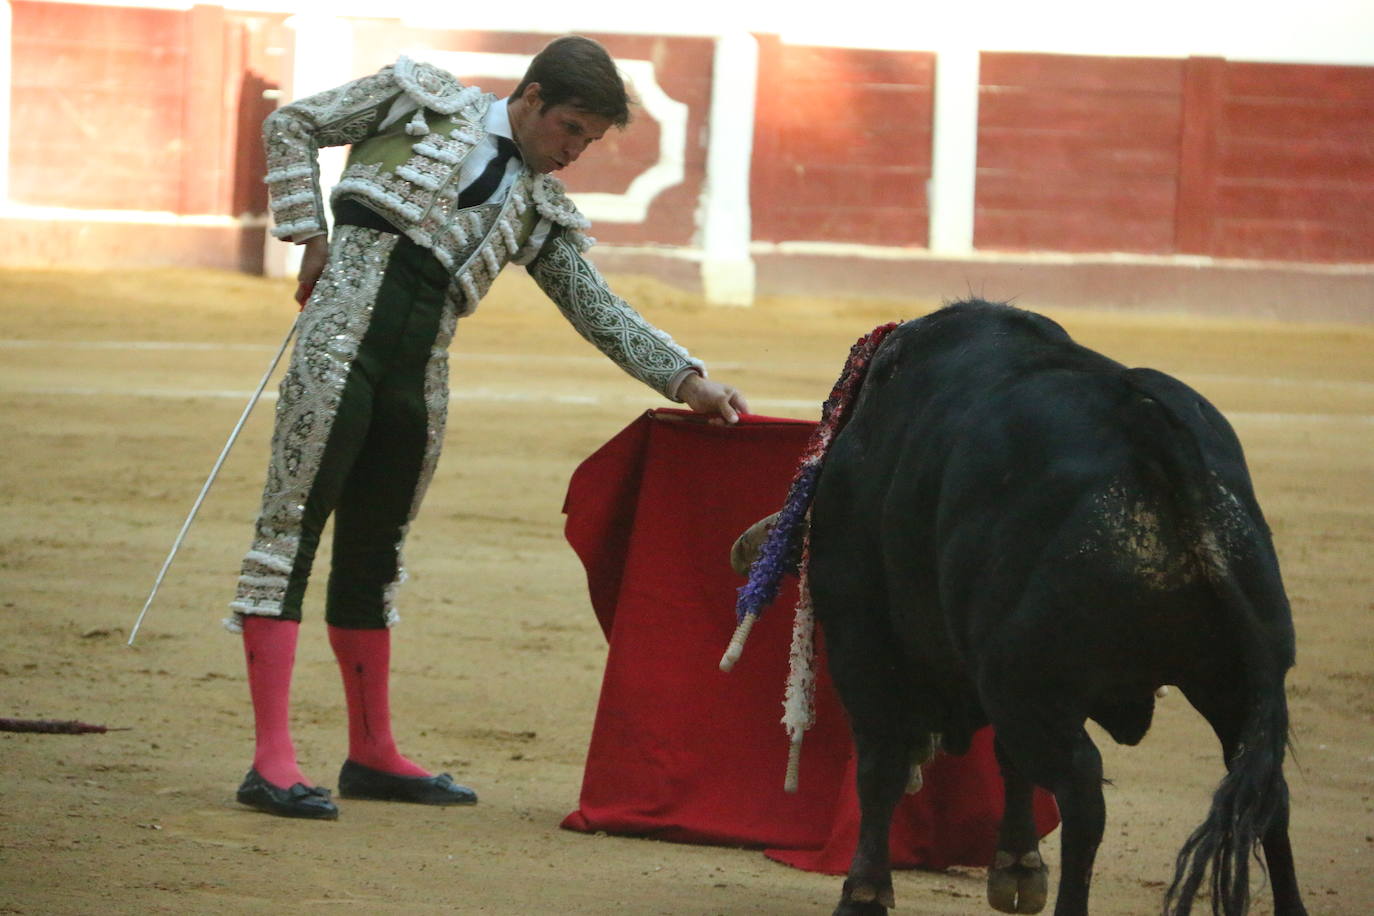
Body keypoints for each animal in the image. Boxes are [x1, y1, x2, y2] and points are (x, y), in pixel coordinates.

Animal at [807, 302, 1302, 916]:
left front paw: (864, 894)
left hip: (1026, 682)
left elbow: (881, 763)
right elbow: (1002, 760)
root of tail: (1145, 427)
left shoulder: (862, 636)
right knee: (1266, 790)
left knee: (1082, 791)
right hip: (1239, 680)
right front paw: (1017, 868)